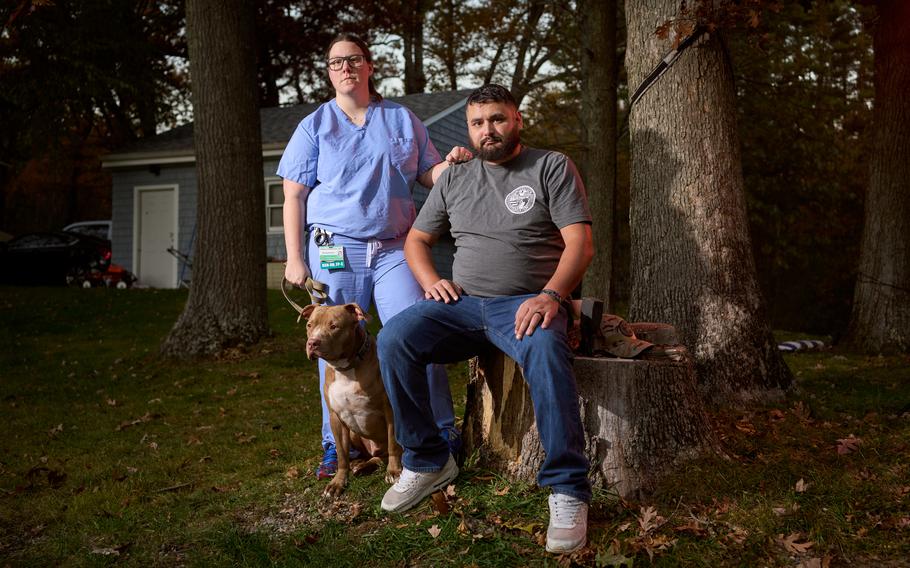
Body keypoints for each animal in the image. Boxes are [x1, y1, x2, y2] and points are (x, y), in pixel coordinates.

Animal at [302, 302, 402, 496]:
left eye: (334, 326)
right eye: (309, 325)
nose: (312, 343)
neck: (345, 368)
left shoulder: (391, 410)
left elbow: (393, 443)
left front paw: (394, 472)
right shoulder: (336, 418)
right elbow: (342, 454)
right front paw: (338, 482)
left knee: (390, 451)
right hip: (355, 434)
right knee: (376, 456)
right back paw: (360, 465)